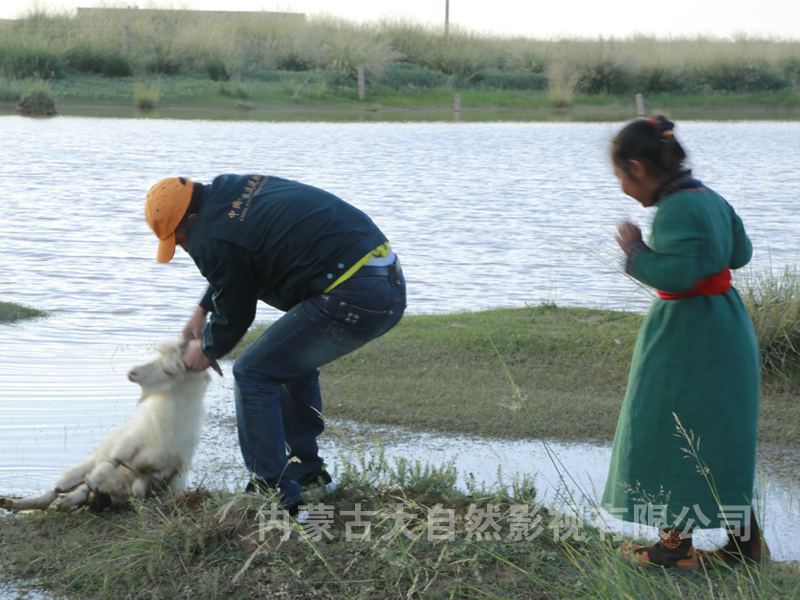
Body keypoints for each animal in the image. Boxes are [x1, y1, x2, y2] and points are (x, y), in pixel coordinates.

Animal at [0, 336, 220, 512]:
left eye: (168, 370)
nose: (132, 372)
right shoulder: (125, 450)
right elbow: (103, 471)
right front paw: (70, 500)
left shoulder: (168, 471)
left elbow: (139, 488)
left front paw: (76, 501)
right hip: (90, 463)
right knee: (59, 488)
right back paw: (17, 503)